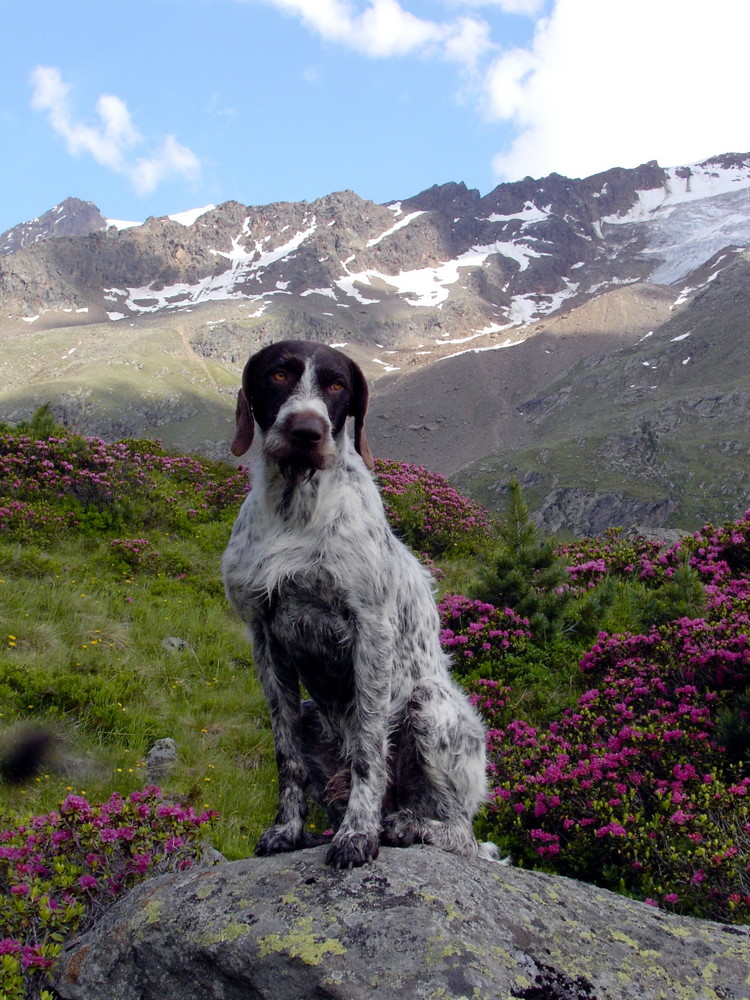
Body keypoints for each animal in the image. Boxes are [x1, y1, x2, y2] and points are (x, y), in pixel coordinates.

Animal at [220, 342, 496, 868]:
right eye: (279, 374)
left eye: (335, 385)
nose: (306, 432)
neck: (295, 510)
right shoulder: (265, 640)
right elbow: (286, 758)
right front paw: (287, 830)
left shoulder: (370, 631)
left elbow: (369, 749)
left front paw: (357, 834)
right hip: (313, 712)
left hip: (427, 704)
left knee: (462, 834)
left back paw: (406, 825)